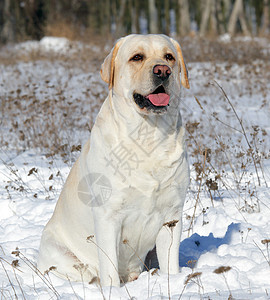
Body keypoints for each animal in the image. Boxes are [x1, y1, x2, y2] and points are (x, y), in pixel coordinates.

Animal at [38, 34, 190, 288]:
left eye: (169, 56)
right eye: (137, 57)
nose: (163, 70)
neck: (149, 136)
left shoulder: (172, 215)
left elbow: (171, 265)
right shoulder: (108, 217)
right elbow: (109, 269)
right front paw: (113, 291)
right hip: (60, 253)